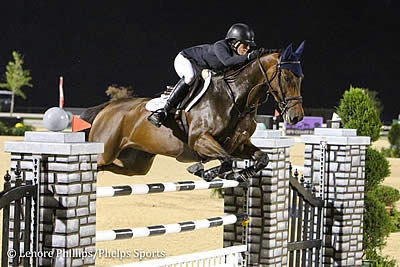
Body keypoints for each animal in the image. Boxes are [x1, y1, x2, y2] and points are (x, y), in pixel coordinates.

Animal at [80, 42, 306, 183]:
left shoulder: (238, 145)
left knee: (113, 167)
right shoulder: (200, 140)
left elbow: (262, 159)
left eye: (301, 78)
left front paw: (238, 175)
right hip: (105, 151)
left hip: (136, 163)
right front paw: (202, 171)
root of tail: (108, 108)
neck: (236, 98)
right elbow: (226, 161)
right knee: (99, 164)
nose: (296, 117)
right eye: (286, 77)